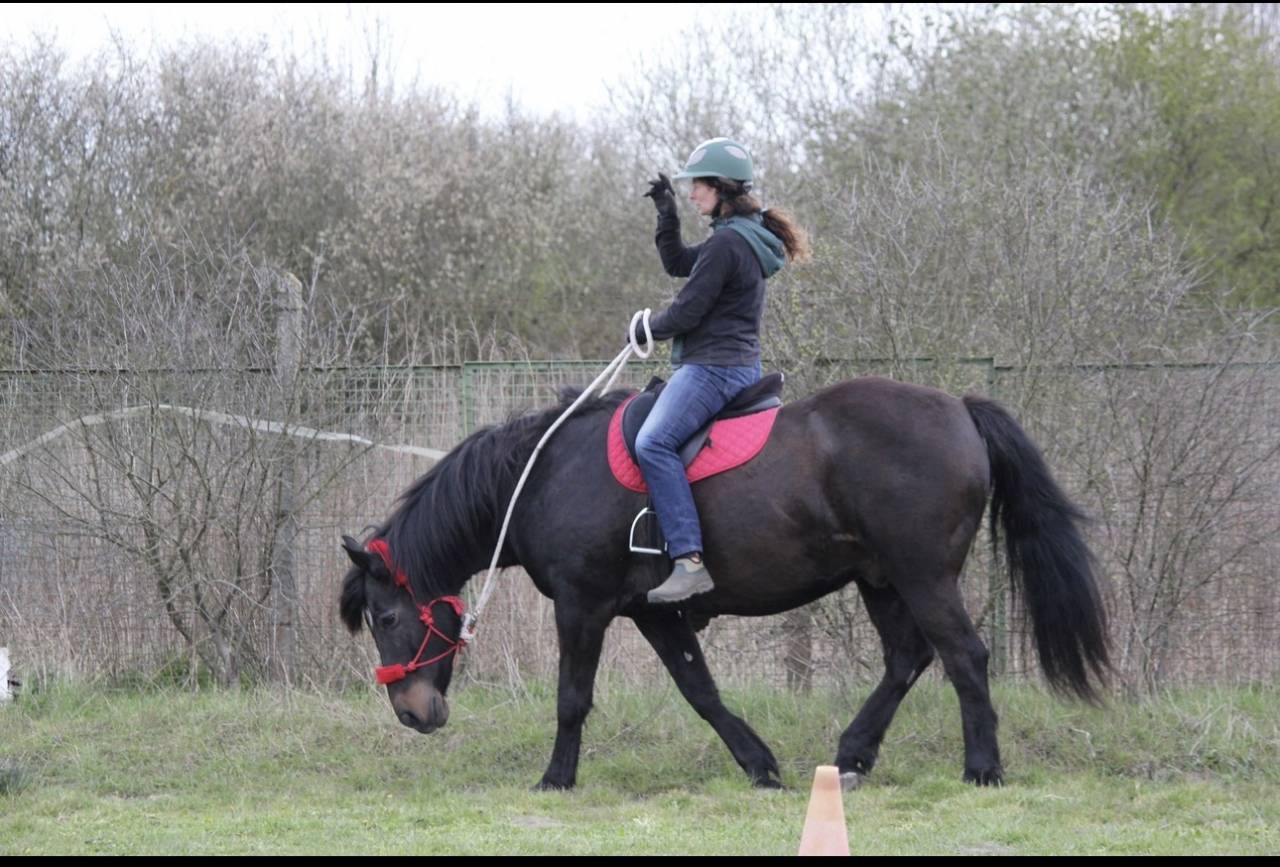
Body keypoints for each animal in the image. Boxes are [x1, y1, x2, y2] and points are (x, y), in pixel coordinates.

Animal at [339, 375, 1109, 790]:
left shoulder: (584, 606)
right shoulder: (654, 613)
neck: (545, 472)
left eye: (386, 618)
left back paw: (982, 766)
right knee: (907, 659)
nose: (411, 713)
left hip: (923, 576)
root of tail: (958, 406)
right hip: (882, 580)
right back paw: (853, 754)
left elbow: (571, 699)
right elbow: (700, 691)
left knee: (964, 657)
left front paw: (556, 777)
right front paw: (760, 764)